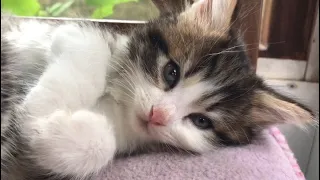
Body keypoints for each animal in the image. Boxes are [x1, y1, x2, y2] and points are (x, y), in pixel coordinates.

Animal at [0, 0, 316, 179]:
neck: (119, 105)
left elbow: (100, 145)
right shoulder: (68, 33)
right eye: (171, 73)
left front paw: (46, 130)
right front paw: (37, 113)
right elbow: (89, 43)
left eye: (201, 121)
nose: (158, 115)